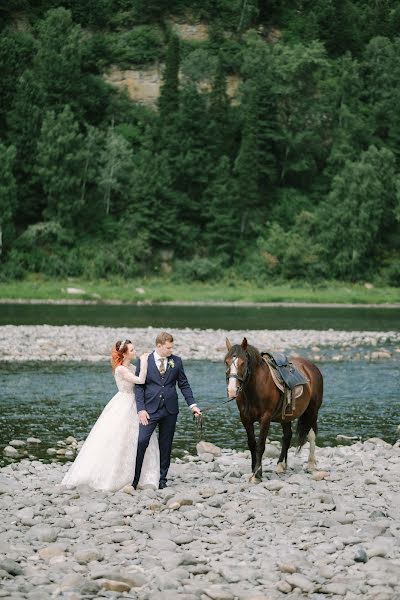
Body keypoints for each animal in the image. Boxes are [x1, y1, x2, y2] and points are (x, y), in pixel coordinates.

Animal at [225, 338, 322, 482]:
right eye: (226, 361)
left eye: (242, 363)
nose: (232, 390)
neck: (255, 388)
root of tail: (311, 367)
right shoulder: (245, 419)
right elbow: (252, 444)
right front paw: (253, 470)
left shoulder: (265, 418)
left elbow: (261, 445)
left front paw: (257, 475)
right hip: (286, 416)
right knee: (287, 436)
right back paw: (281, 465)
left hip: (313, 410)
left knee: (311, 435)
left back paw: (311, 464)